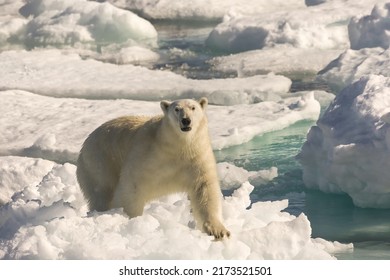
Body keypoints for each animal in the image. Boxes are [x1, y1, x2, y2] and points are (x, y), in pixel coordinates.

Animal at [76, 97, 230, 240]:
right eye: (177, 109)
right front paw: (130, 220)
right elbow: (131, 185)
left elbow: (204, 189)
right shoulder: (148, 153)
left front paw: (218, 231)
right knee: (101, 192)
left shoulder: (197, 156)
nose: (186, 120)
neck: (178, 145)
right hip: (100, 162)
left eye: (193, 107)